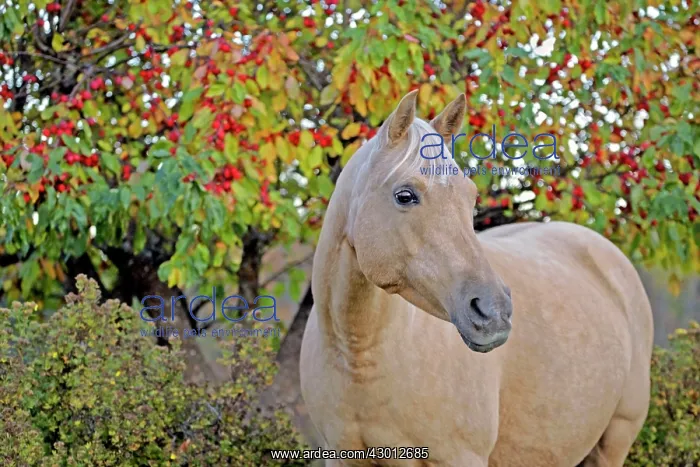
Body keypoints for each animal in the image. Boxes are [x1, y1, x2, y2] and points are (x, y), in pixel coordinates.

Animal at [299, 90, 653, 466]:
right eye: (405, 195)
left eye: (470, 197)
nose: (494, 312)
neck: (358, 355)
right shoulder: (340, 454)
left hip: (616, 437)